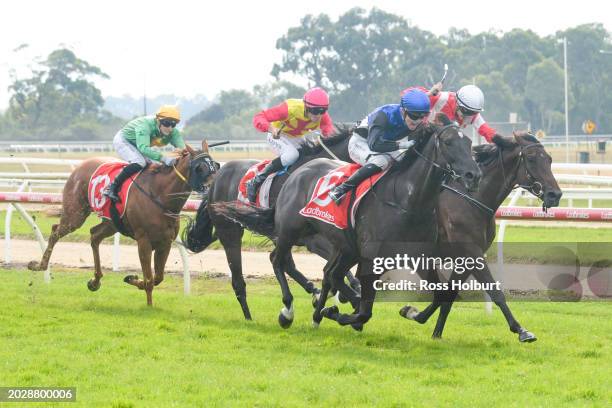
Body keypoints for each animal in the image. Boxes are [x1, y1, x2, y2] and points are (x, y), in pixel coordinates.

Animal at [29, 142, 220, 304]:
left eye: (216, 165)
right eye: (200, 168)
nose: (215, 188)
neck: (159, 195)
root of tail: (79, 167)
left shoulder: (165, 242)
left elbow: (158, 277)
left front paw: (133, 279)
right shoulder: (143, 241)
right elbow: (150, 279)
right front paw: (149, 305)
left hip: (112, 223)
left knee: (94, 235)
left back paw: (95, 281)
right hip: (75, 214)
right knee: (56, 231)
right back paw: (39, 265)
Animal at [182, 126, 358, 320]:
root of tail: (215, 182)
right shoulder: (312, 238)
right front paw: (345, 295)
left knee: (284, 262)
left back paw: (312, 291)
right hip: (230, 232)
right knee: (241, 278)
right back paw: (250, 317)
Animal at [215, 113, 482, 330]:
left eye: (469, 143)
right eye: (448, 142)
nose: (474, 175)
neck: (407, 200)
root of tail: (297, 173)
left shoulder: (419, 255)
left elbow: (440, 294)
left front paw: (411, 311)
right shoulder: (366, 257)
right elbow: (364, 310)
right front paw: (339, 313)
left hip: (343, 245)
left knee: (328, 273)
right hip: (283, 232)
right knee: (277, 261)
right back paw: (287, 312)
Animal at [402, 131, 564, 342]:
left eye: (550, 159)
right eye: (531, 158)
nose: (555, 194)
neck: (471, 200)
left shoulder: (465, 258)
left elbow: (448, 294)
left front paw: (431, 328)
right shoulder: (472, 252)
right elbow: (493, 290)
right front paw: (521, 330)